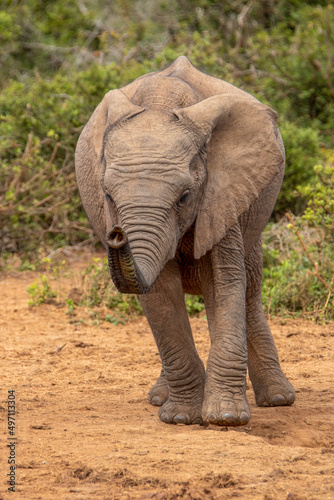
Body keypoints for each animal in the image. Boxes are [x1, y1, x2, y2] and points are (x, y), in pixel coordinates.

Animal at [75, 57, 294, 426]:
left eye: (185, 196)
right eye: (107, 195)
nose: (116, 234)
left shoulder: (221, 193)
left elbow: (224, 282)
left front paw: (225, 418)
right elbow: (160, 295)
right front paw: (180, 417)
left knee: (250, 290)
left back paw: (278, 399)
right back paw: (159, 398)